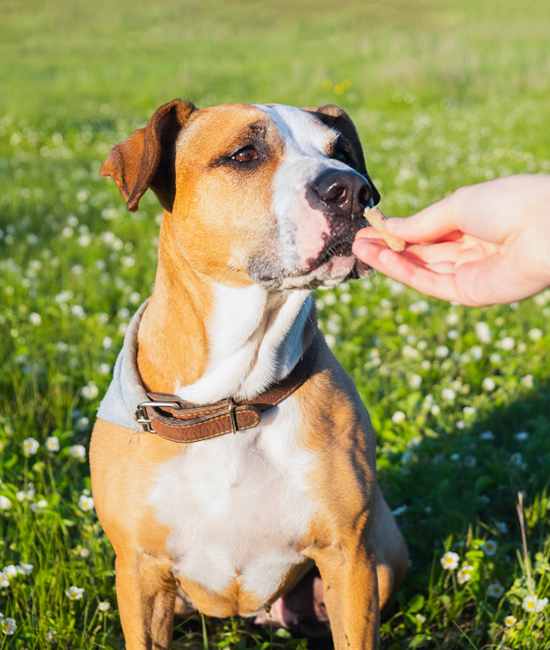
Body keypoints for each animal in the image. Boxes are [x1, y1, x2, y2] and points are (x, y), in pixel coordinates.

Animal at [91, 97, 410, 648]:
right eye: (244, 154)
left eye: (342, 153)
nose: (353, 191)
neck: (233, 400)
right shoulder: (138, 569)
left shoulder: (348, 557)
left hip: (383, 557)